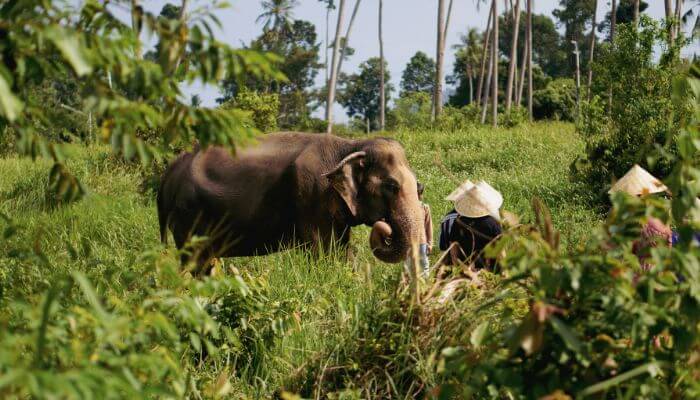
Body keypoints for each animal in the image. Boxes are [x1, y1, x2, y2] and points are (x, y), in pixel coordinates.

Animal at [155, 132, 424, 268]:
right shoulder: (312, 193)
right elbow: (323, 250)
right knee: (197, 261)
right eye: (391, 186)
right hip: (188, 214)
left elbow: (341, 248)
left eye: (419, 188)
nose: (385, 227)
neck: (349, 144)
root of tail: (171, 170)